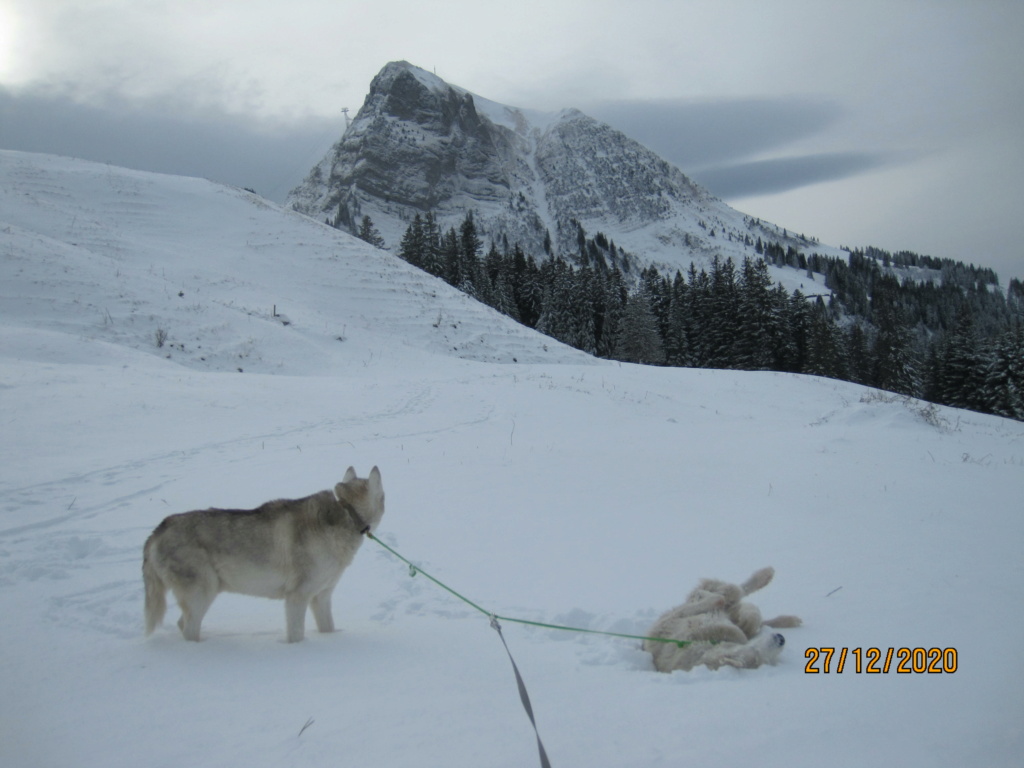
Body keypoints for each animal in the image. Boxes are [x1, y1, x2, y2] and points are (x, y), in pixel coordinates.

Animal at [141, 468, 385, 643]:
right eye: (384, 496)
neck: (346, 514)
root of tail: (158, 530)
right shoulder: (297, 597)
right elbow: (296, 634)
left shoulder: (321, 596)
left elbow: (328, 628)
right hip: (203, 593)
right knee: (188, 628)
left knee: (182, 624)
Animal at [643, 569, 802, 671]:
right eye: (756, 653)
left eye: (770, 660)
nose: (781, 639)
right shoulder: (670, 620)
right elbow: (717, 599)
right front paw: (703, 596)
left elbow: (717, 599)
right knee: (738, 591)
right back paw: (765, 575)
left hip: (738, 614)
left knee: (742, 599)